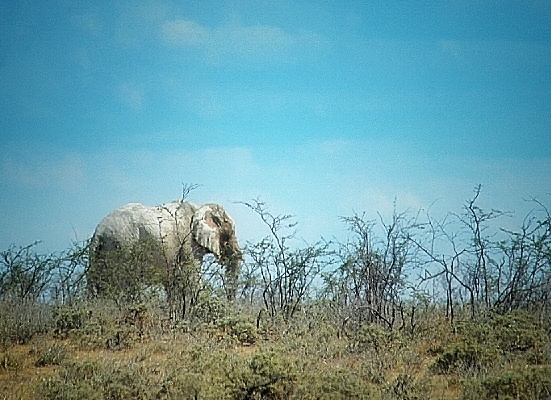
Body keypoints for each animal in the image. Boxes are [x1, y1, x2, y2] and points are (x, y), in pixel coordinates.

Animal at [89, 202, 243, 302]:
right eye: (230, 233)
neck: (199, 208)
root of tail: (98, 232)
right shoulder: (188, 242)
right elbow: (192, 277)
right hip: (123, 246)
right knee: (124, 286)